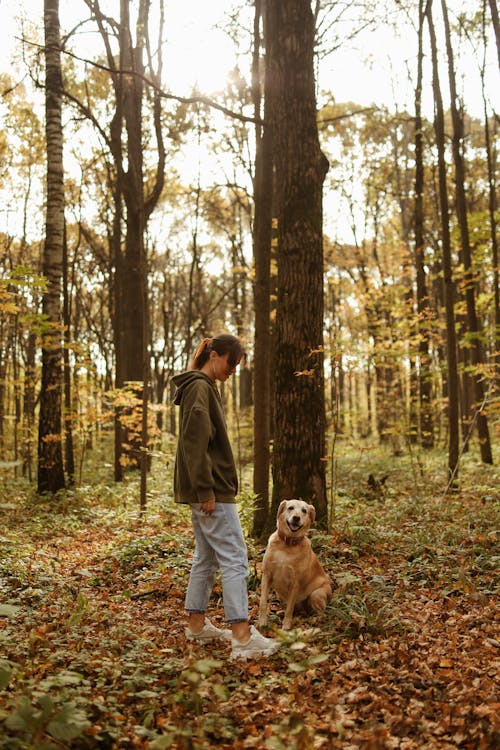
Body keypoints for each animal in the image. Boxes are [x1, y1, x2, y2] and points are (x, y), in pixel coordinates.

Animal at [258, 502, 332, 632]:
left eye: (304, 511)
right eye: (290, 508)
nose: (296, 518)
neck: (286, 545)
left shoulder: (295, 583)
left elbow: (290, 609)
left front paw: (286, 625)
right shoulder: (266, 575)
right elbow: (263, 602)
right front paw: (262, 621)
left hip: (316, 594)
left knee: (321, 613)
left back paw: (315, 620)